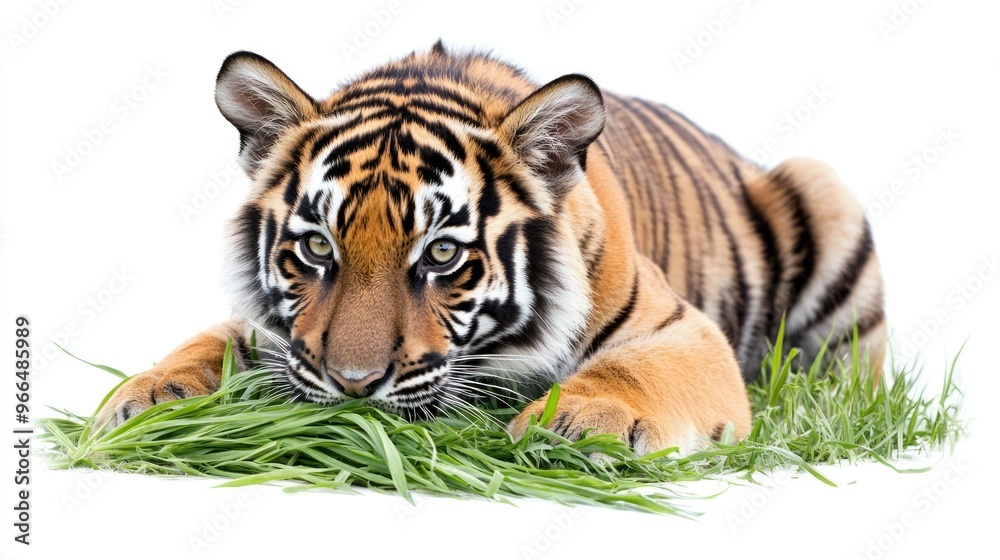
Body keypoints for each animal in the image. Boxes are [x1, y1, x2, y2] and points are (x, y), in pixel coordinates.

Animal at [95, 42, 886, 455]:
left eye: (442, 256)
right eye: (317, 247)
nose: (353, 385)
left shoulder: (683, 330)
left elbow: (633, 372)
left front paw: (578, 420)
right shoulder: (277, 330)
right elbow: (207, 342)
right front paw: (143, 398)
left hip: (825, 192)